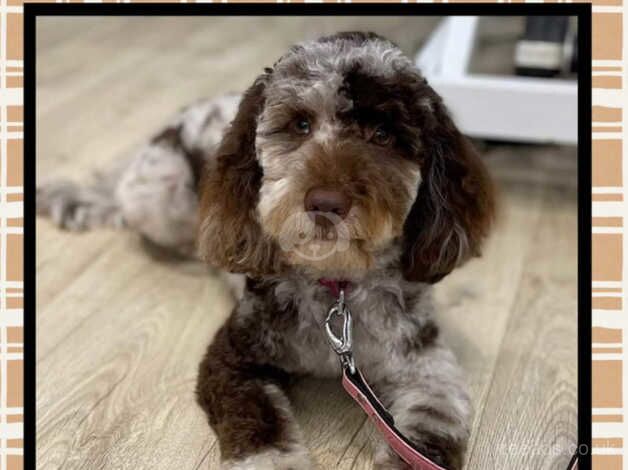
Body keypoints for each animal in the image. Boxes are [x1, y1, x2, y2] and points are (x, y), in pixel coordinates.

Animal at [39, 33, 496, 470]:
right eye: (301, 123)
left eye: (383, 134)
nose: (325, 202)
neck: (336, 286)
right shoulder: (234, 357)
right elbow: (261, 429)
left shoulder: (427, 368)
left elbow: (428, 434)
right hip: (155, 195)